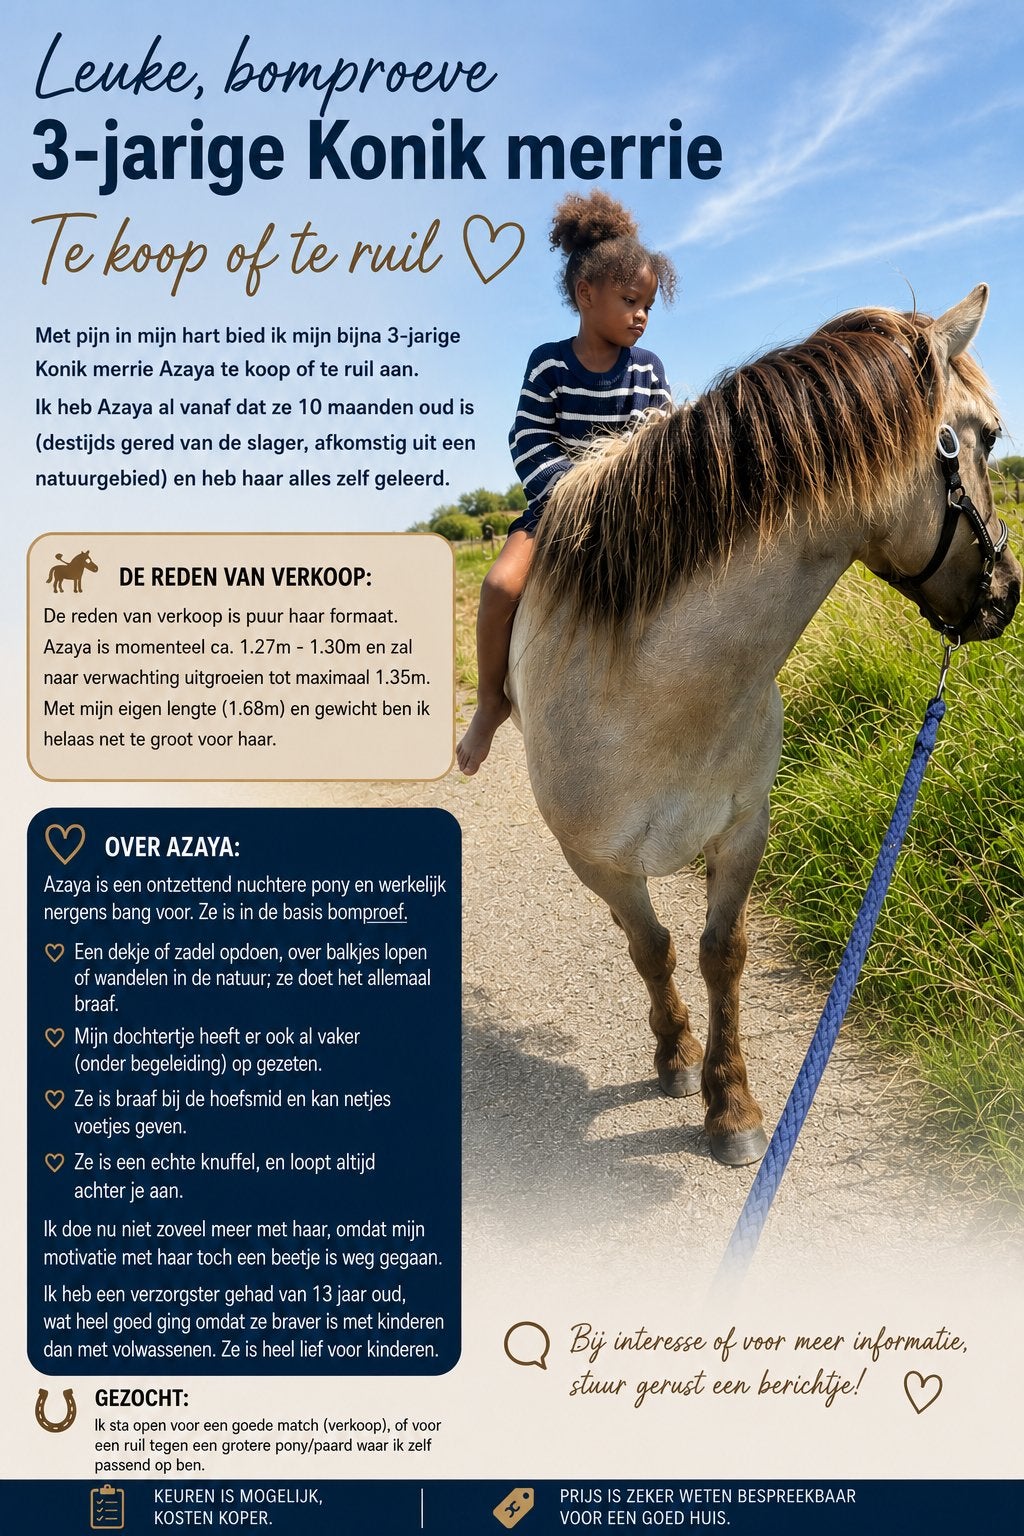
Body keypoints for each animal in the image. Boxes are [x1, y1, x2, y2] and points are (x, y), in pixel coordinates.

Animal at [508, 285, 1020, 1168]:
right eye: (985, 436)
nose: (1008, 593)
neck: (659, 691)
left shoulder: (744, 832)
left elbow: (721, 954)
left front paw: (734, 1106)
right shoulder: (598, 860)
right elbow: (652, 947)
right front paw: (678, 1057)